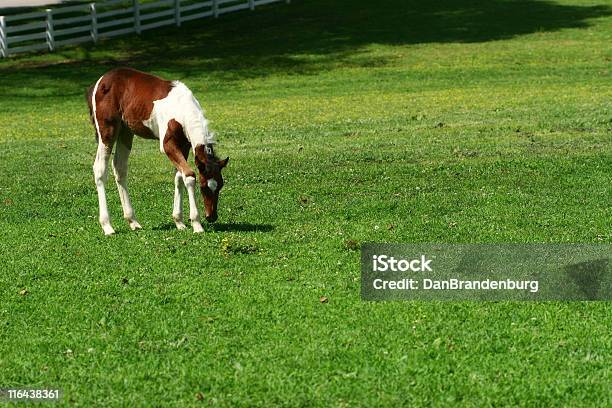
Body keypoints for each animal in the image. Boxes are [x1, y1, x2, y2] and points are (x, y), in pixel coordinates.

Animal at [87, 67, 228, 236]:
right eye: (203, 188)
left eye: (220, 186)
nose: (211, 217)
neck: (182, 109)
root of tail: (100, 81)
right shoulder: (168, 145)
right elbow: (188, 176)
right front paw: (196, 224)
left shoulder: (184, 145)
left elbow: (178, 177)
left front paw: (179, 221)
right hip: (107, 130)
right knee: (100, 169)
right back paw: (107, 226)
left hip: (126, 132)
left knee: (120, 168)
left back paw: (133, 221)